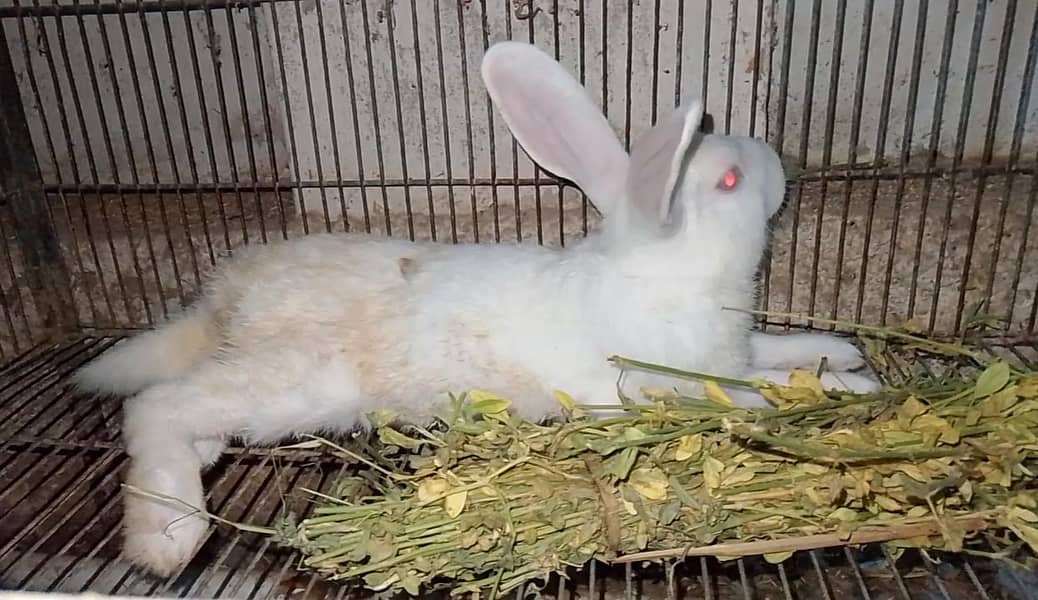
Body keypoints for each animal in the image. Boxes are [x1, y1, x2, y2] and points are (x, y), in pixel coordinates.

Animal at [72, 40, 879, 578]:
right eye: (730, 180)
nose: (775, 161)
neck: (662, 272)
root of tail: (227, 295)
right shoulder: (668, 384)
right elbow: (755, 395)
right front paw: (851, 389)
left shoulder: (734, 348)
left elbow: (775, 350)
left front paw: (840, 357)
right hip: (293, 384)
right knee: (156, 407)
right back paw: (167, 535)